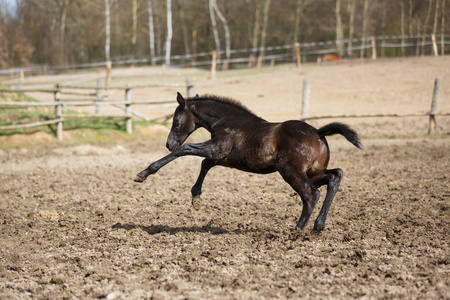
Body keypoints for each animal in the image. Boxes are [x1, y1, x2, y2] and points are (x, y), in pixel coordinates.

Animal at [134, 92, 362, 233]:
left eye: (175, 121)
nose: (169, 143)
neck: (227, 121)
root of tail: (318, 133)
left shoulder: (217, 148)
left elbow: (186, 150)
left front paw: (144, 173)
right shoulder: (224, 156)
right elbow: (205, 164)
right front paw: (196, 198)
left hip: (291, 171)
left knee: (311, 194)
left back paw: (297, 230)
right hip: (313, 172)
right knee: (335, 176)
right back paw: (318, 227)